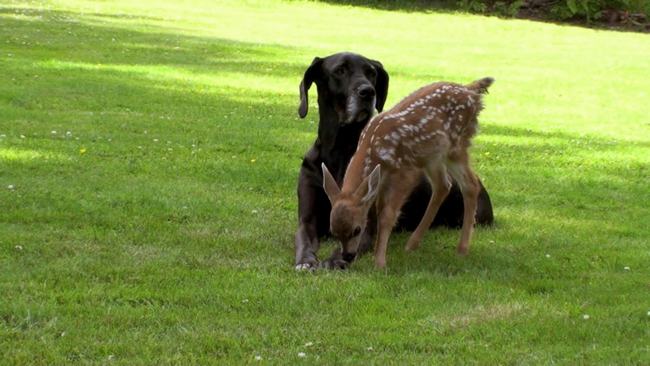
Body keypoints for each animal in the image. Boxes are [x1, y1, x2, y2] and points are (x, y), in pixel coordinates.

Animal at [294, 51, 492, 268]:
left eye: (371, 72)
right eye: (339, 70)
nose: (347, 256)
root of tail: (472, 91)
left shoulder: (405, 171)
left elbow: (387, 216)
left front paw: (378, 263)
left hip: (455, 147)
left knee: (469, 184)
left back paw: (461, 249)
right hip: (433, 155)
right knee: (443, 185)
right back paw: (412, 244)